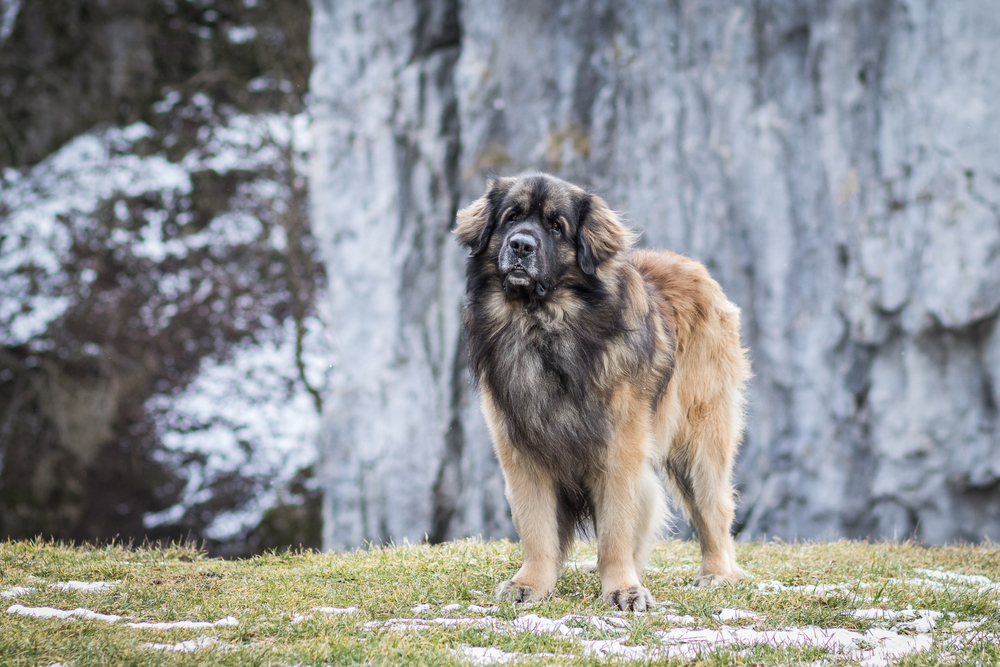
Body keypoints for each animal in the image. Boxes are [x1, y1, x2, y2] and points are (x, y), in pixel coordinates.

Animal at [454, 172, 752, 612]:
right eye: (511, 218)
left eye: (556, 226)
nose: (521, 245)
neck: (543, 327)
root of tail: (693, 266)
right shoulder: (521, 451)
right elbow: (537, 528)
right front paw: (531, 583)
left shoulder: (619, 451)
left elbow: (616, 529)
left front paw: (623, 589)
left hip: (699, 441)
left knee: (713, 509)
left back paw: (717, 573)